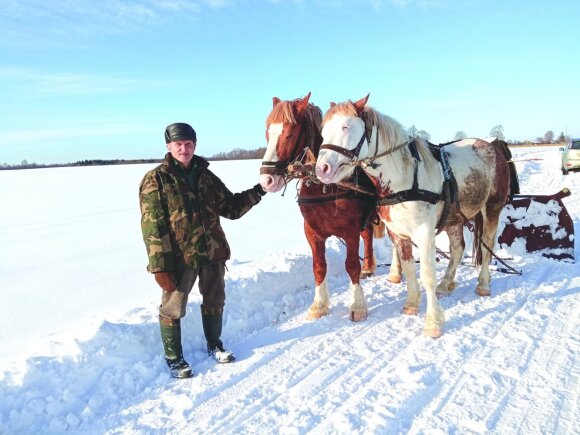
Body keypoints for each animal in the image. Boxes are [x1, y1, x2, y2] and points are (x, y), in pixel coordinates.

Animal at [260, 93, 378, 322]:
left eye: (290, 134)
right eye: (268, 132)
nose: (266, 180)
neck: (323, 186)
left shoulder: (350, 230)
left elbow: (352, 265)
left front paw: (358, 305)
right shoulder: (312, 231)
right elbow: (319, 267)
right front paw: (319, 305)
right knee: (368, 234)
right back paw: (369, 267)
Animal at [318, 95, 512, 338]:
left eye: (345, 127)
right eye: (323, 131)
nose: (321, 169)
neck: (403, 178)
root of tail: (491, 146)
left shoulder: (424, 232)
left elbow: (427, 274)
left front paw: (433, 322)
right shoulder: (398, 233)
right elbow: (409, 268)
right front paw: (411, 303)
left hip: (492, 208)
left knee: (487, 245)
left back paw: (483, 284)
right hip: (454, 218)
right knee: (458, 248)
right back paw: (446, 283)